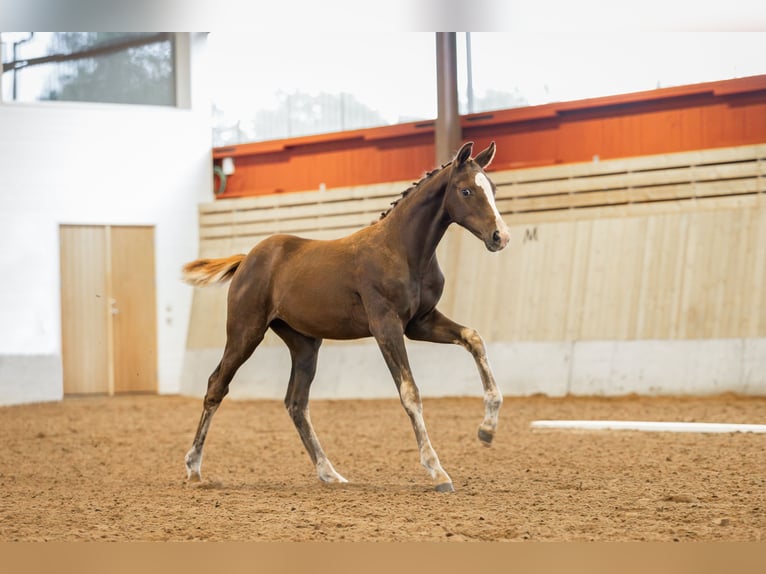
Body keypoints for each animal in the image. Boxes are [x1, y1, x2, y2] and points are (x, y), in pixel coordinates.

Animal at [183, 142, 510, 492]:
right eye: (466, 190)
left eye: (493, 188)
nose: (500, 237)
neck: (402, 250)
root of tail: (247, 259)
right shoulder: (386, 327)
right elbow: (409, 392)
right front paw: (437, 471)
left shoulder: (420, 323)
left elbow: (473, 337)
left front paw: (487, 429)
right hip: (245, 332)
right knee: (217, 385)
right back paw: (193, 467)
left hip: (305, 345)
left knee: (296, 403)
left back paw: (329, 472)